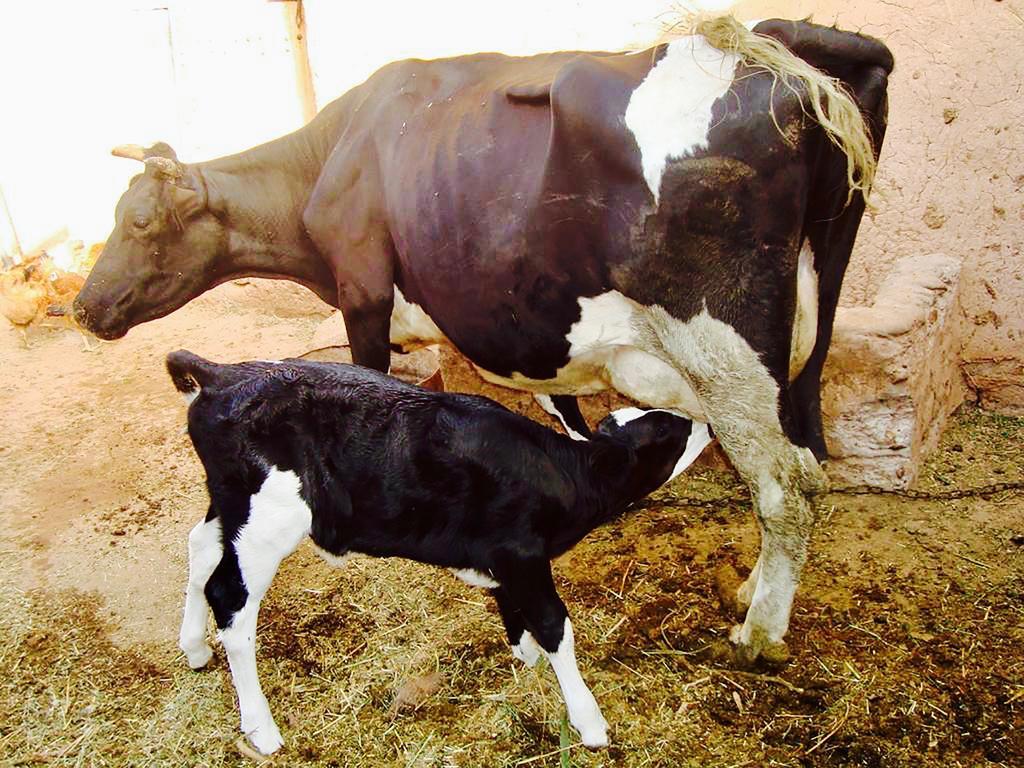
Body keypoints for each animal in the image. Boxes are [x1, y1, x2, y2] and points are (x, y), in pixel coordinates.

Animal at [75, 18, 892, 667]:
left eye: (139, 222)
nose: (83, 306)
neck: (334, 153)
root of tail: (778, 46)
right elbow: (566, 418)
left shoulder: (363, 294)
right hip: (801, 347)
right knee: (807, 457)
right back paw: (754, 588)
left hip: (724, 345)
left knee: (788, 484)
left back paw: (759, 633)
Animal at [167, 352, 712, 753]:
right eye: (671, 432)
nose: (707, 423)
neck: (563, 475)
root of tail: (225, 375)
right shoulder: (524, 555)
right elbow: (556, 626)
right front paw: (589, 722)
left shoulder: (507, 559)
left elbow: (517, 612)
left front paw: (526, 656)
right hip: (268, 521)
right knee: (230, 600)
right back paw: (261, 728)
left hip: (231, 506)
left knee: (201, 549)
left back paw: (193, 647)